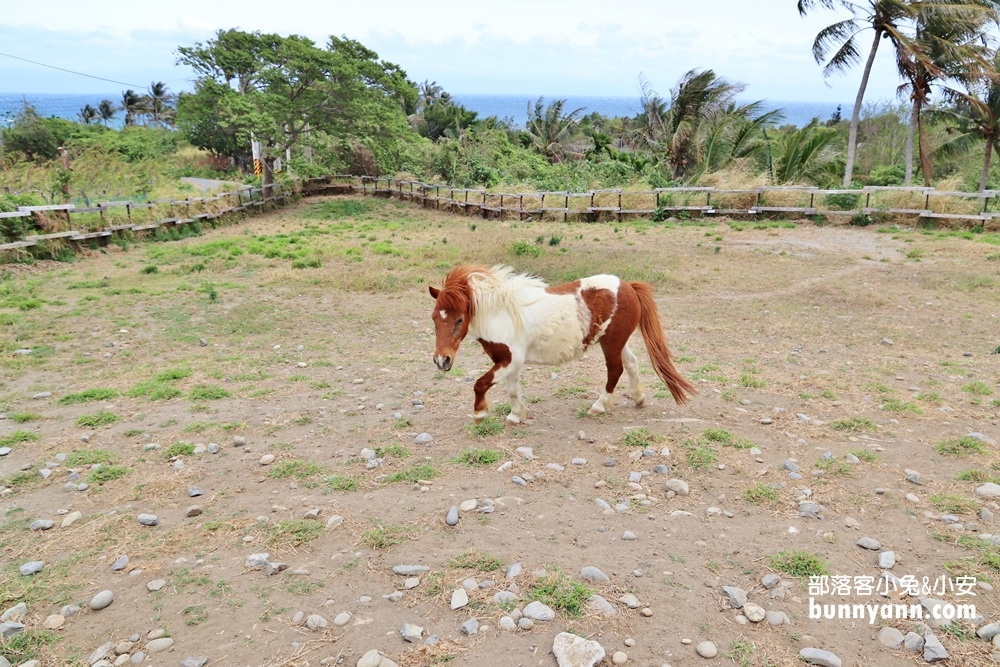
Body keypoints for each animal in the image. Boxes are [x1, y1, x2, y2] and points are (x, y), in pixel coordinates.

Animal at [430, 264, 696, 426]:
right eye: (434, 318)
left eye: (459, 319)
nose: (441, 360)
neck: (501, 314)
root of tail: (628, 286)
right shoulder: (507, 363)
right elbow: (512, 390)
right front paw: (516, 416)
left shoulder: (510, 360)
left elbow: (480, 384)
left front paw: (479, 413)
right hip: (616, 341)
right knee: (631, 364)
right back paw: (638, 399)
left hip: (611, 343)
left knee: (615, 370)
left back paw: (598, 406)